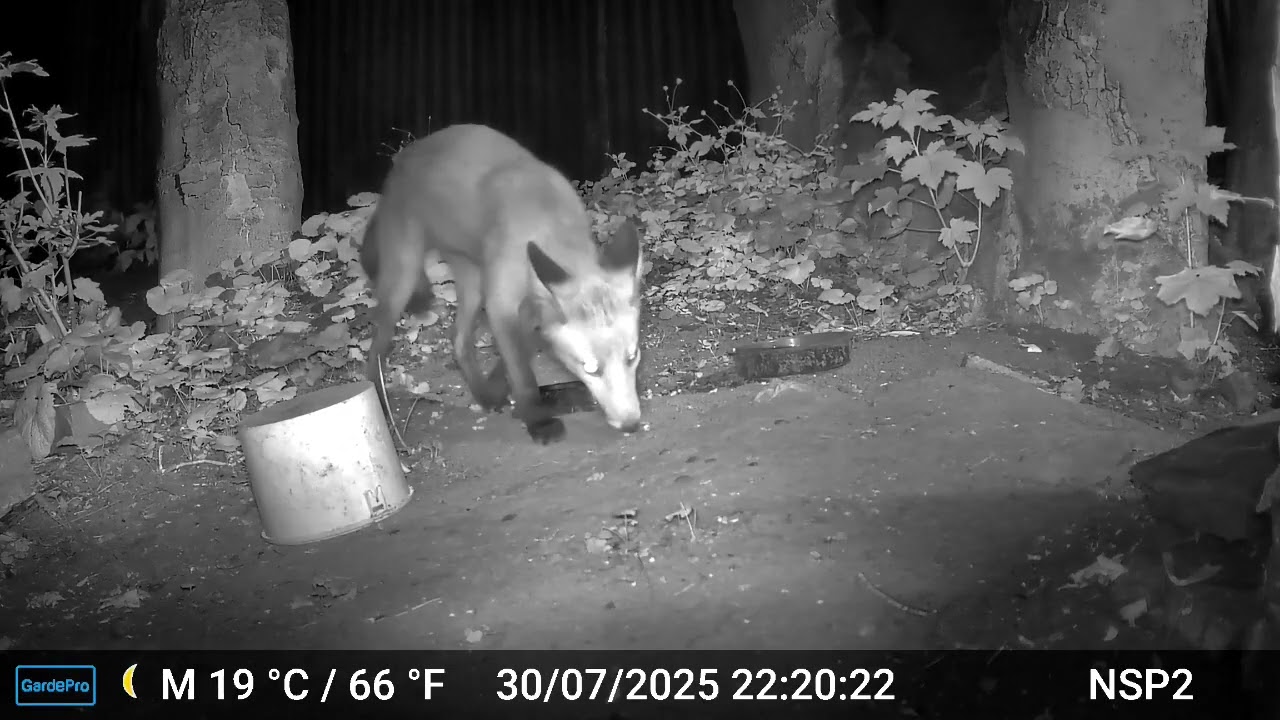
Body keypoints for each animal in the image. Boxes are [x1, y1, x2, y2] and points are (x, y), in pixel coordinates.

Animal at [359, 124, 645, 444]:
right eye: (590, 368)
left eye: (632, 356)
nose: (631, 424)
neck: (547, 224)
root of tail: (406, 153)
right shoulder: (502, 305)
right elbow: (522, 372)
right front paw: (536, 419)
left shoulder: (531, 311)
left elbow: (515, 359)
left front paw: (503, 390)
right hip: (404, 275)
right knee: (376, 349)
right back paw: (379, 401)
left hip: (473, 280)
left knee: (458, 340)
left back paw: (483, 394)